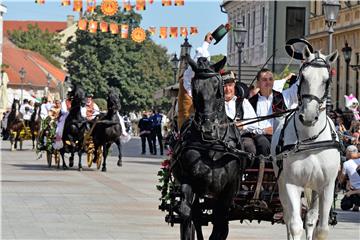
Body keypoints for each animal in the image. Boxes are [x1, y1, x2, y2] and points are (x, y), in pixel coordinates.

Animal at [171, 56, 248, 240]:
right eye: (195, 87)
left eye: (217, 87)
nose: (207, 128)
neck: (213, 145)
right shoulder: (189, 181)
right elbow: (187, 213)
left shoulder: (228, 191)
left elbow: (220, 223)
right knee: (196, 216)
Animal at [272, 47, 340, 240]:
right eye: (303, 77)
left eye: (326, 80)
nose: (308, 116)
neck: (311, 141)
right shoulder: (291, 184)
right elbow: (295, 226)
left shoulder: (327, 186)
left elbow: (321, 228)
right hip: (281, 184)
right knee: (288, 217)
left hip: (314, 188)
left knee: (310, 218)